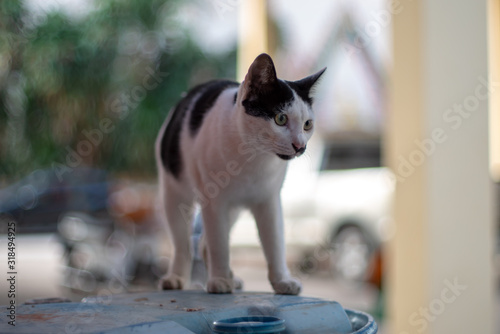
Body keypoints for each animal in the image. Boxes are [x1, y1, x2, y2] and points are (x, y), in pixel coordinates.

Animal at [157, 52, 328, 294]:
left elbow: (275, 244)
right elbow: (219, 244)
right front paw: (219, 280)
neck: (253, 159)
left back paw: (232, 278)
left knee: (203, 244)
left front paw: (281, 281)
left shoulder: (269, 201)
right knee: (184, 245)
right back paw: (176, 278)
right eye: (281, 119)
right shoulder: (215, 202)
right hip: (174, 196)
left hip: (233, 210)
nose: (300, 146)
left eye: (307, 124)